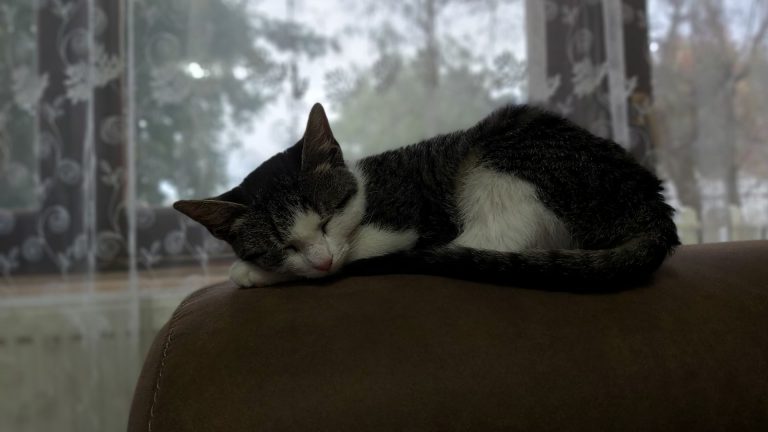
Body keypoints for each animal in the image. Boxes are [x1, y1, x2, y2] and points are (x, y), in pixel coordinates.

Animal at [172, 102, 680, 288]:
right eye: (281, 245)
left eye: (328, 218)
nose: (322, 260)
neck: (365, 188)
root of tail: (652, 205)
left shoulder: (400, 224)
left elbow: (356, 254)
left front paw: (252, 273)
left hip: (501, 161)